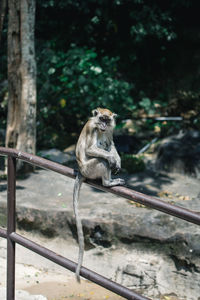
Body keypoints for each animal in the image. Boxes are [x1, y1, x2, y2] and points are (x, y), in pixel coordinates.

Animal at [72, 107, 124, 282]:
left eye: (107, 120)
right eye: (101, 119)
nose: (103, 125)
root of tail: (81, 170)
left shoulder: (109, 130)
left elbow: (112, 144)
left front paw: (118, 160)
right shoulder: (92, 128)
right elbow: (90, 149)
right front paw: (113, 160)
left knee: (107, 145)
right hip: (90, 168)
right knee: (103, 160)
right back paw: (108, 182)